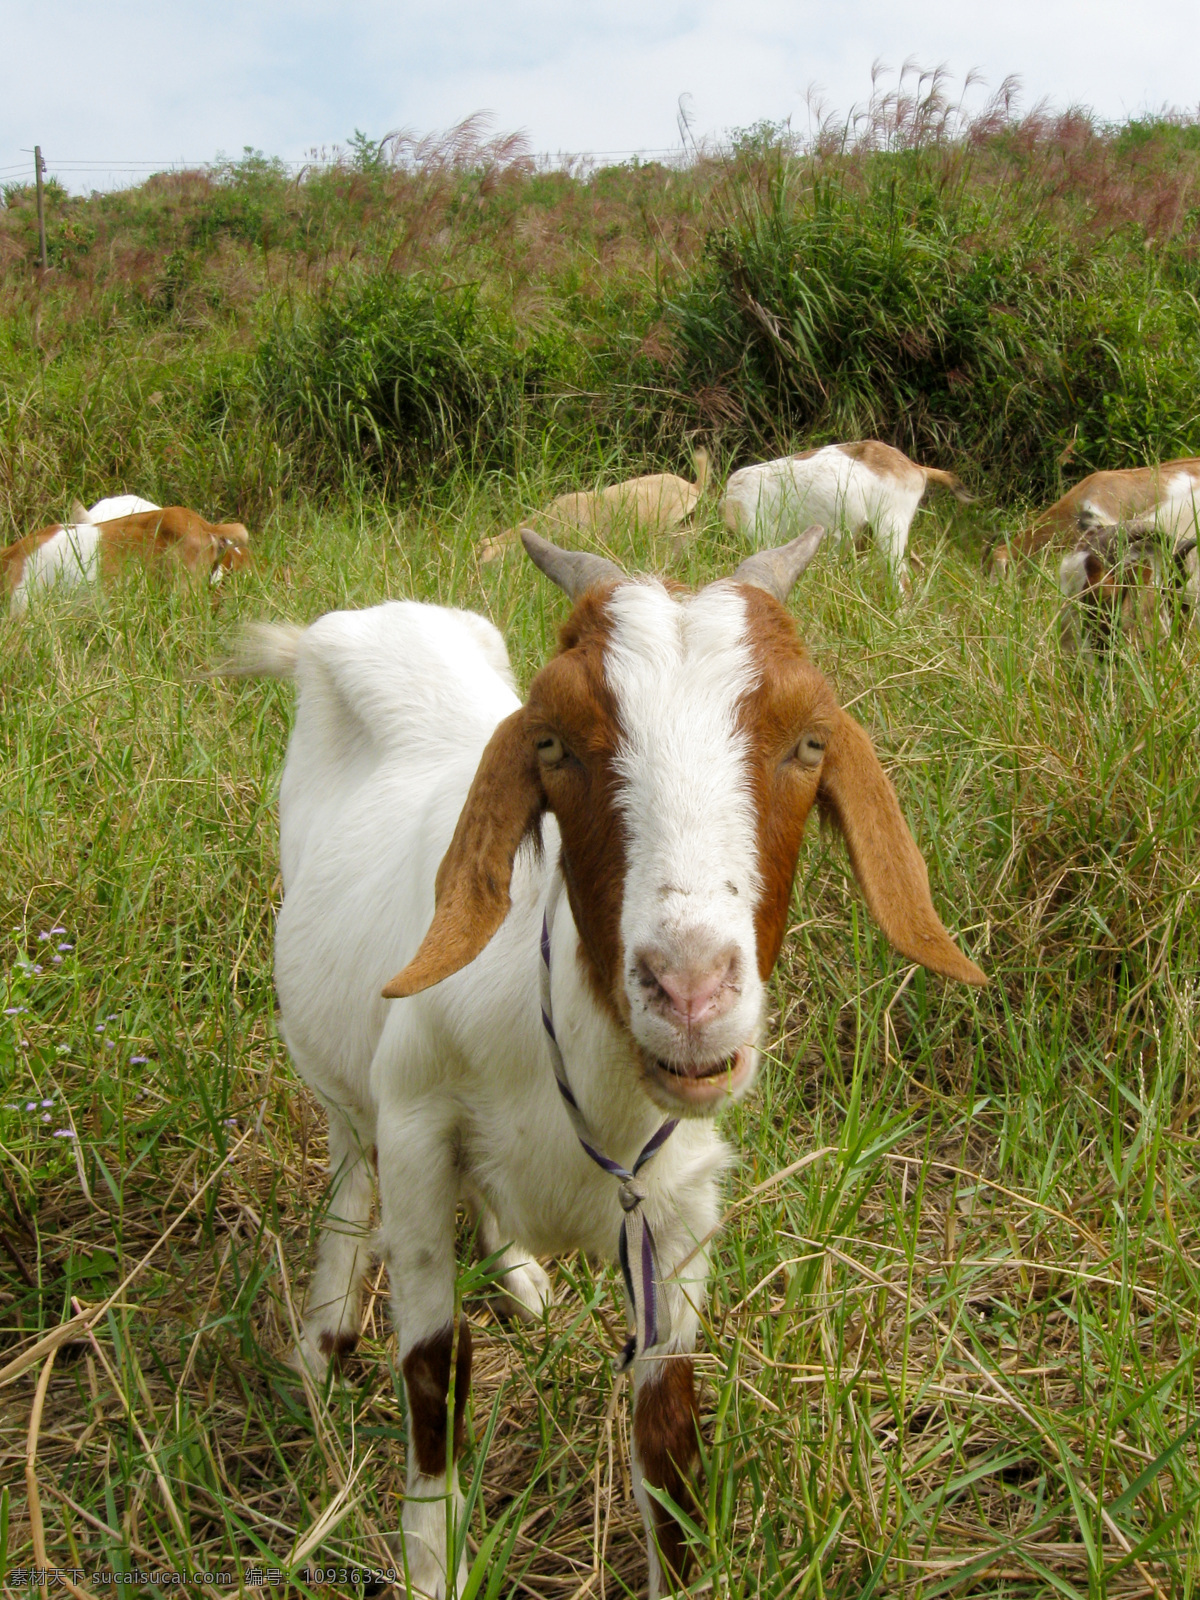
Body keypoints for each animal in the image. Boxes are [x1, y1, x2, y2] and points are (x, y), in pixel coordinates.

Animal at [236, 528, 985, 1600]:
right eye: (554, 744)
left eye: (808, 742)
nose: (690, 990)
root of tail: (357, 627)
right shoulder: (417, 1127)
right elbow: (433, 1370)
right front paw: (430, 1560)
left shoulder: (677, 1201)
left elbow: (668, 1427)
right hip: (339, 1070)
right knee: (347, 1169)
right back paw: (321, 1341)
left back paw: (517, 1274)